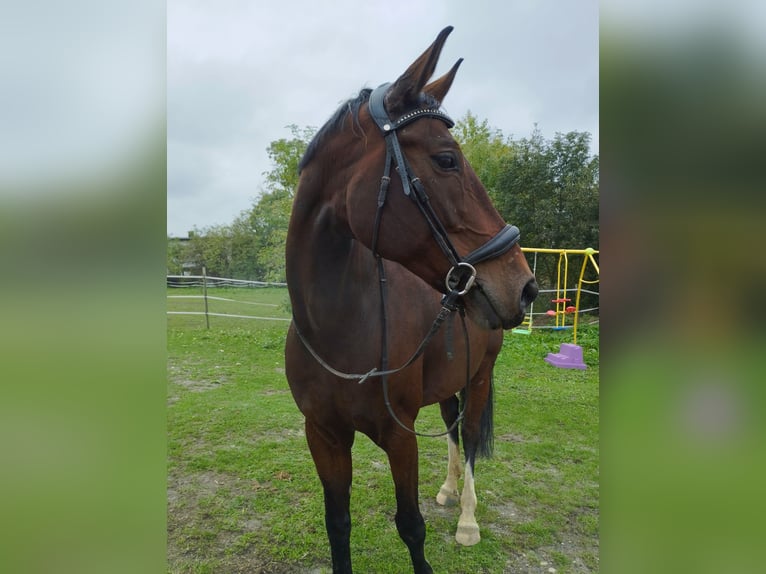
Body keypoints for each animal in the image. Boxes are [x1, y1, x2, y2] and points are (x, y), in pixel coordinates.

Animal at [284, 24, 544, 572]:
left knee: (470, 437)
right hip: (448, 383)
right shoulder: (323, 436)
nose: (525, 286)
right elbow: (337, 524)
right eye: (446, 160)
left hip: (480, 377)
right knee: (451, 426)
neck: (339, 327)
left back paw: (466, 519)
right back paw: (446, 490)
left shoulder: (400, 437)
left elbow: (410, 526)